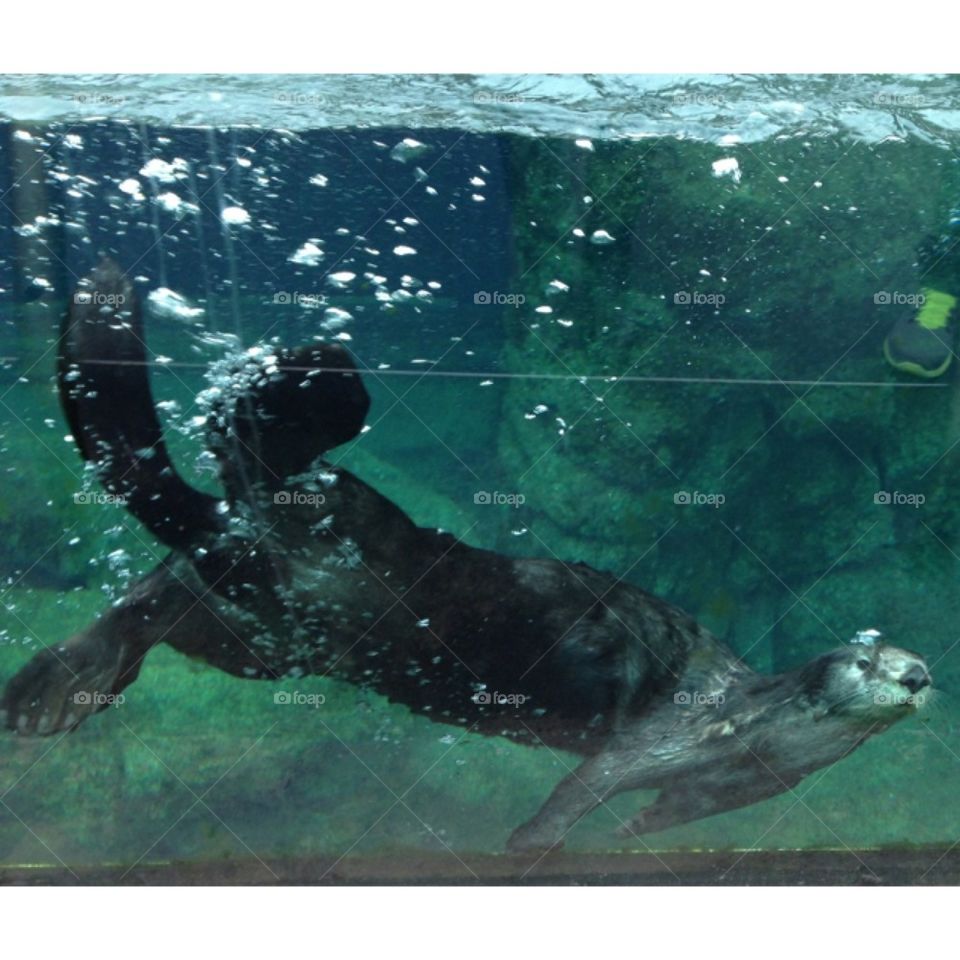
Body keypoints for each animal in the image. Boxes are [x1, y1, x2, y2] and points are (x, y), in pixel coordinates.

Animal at [0, 259, 932, 852]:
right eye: (873, 660)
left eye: (911, 658)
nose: (918, 675)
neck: (755, 724)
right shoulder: (673, 732)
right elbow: (592, 780)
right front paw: (531, 841)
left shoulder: (749, 781)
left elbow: (671, 811)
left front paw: (633, 831)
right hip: (341, 546)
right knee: (246, 475)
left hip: (268, 637)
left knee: (164, 590)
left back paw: (55, 688)